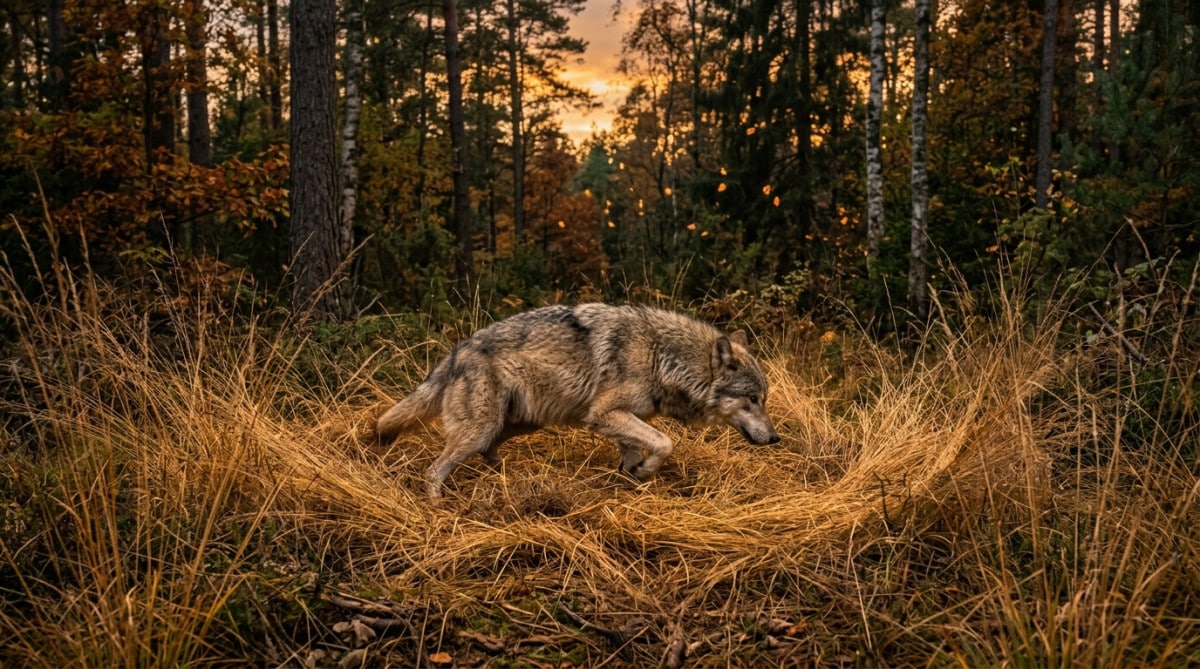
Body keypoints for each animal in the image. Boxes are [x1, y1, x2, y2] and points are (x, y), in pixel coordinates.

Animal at [376, 303, 781, 500]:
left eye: (763, 399)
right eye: (753, 399)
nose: (776, 438)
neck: (662, 356)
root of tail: (456, 351)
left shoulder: (621, 419)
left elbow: (637, 451)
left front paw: (633, 478)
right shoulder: (604, 413)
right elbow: (666, 442)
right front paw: (646, 471)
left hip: (518, 424)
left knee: (488, 453)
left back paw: (504, 477)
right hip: (481, 428)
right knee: (434, 471)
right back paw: (439, 509)